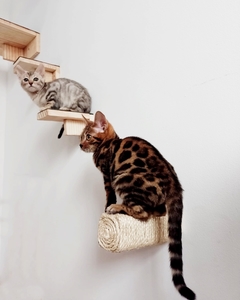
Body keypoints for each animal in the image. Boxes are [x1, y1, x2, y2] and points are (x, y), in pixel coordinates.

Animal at [79, 110, 196, 300]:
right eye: (81, 136)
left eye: (88, 136)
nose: (80, 144)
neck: (109, 142)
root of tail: (174, 183)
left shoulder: (107, 176)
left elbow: (109, 195)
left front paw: (108, 207)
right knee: (158, 211)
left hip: (123, 178)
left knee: (143, 212)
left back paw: (117, 208)